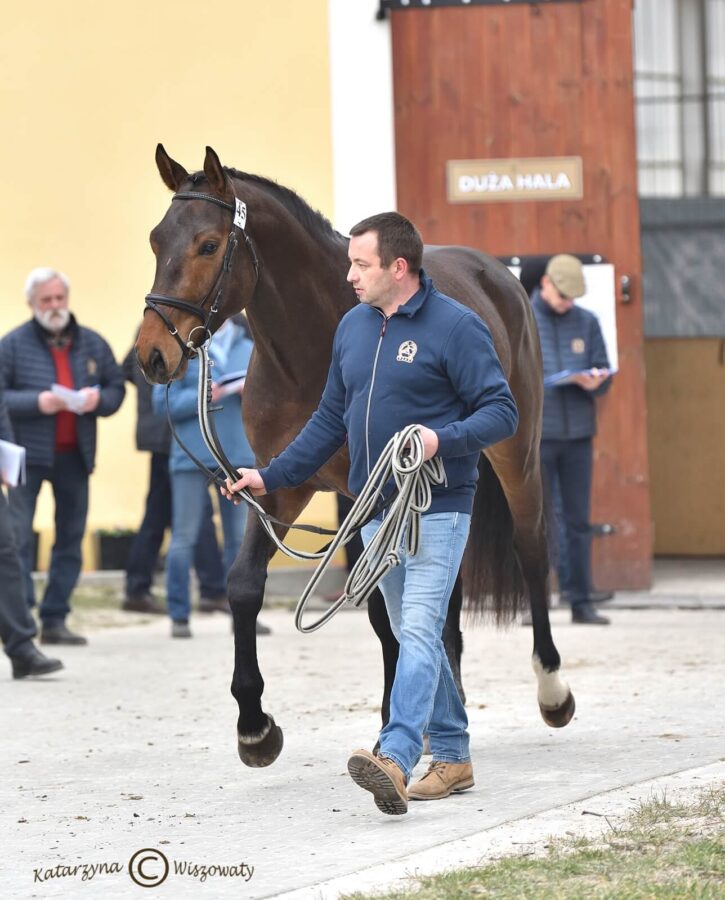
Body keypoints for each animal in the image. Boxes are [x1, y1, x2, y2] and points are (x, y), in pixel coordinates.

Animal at [136, 148, 576, 768]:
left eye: (208, 244)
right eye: (156, 240)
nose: (152, 353)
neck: (311, 347)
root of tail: (495, 274)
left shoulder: (372, 487)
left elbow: (379, 608)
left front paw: (392, 724)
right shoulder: (282, 484)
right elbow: (244, 584)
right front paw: (255, 727)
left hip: (516, 454)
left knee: (531, 550)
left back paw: (551, 690)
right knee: (444, 589)